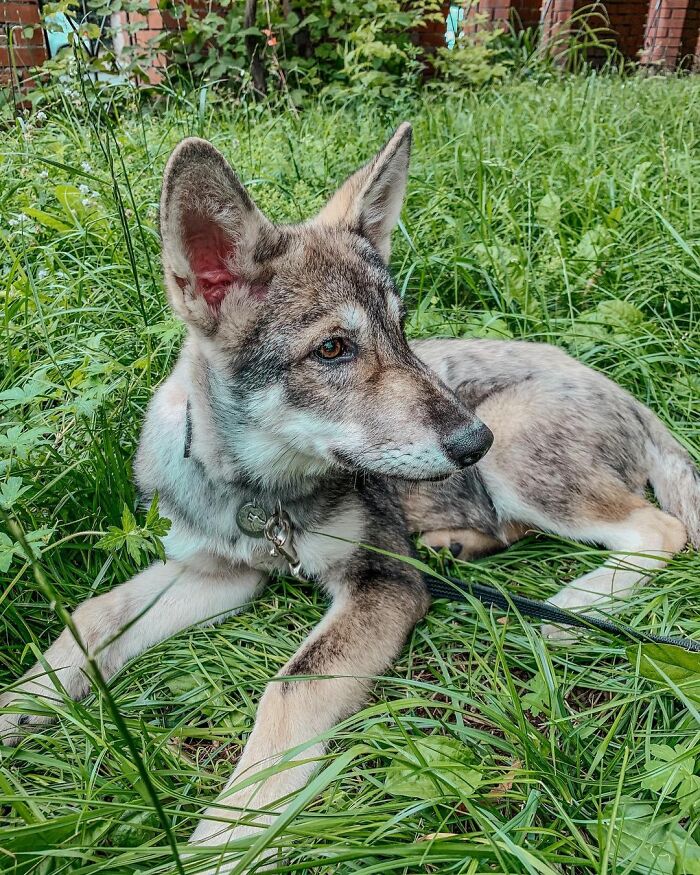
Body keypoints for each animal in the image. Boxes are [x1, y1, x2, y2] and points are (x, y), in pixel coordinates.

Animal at [1, 121, 700, 868]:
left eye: (401, 326)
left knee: (661, 529)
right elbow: (94, 615)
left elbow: (288, 686)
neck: (257, 496)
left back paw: (576, 604)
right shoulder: (215, 572)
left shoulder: (381, 583)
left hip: (517, 450)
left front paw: (230, 834)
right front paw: (23, 702)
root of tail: (628, 395)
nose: (470, 442)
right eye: (333, 348)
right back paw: (457, 544)